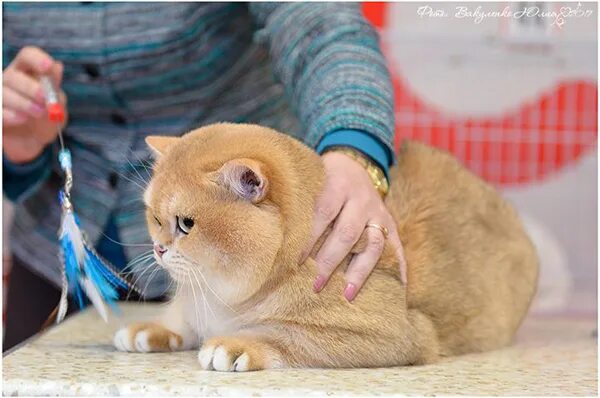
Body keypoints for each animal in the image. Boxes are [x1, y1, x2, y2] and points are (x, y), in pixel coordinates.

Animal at [113, 122, 540, 370]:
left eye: (186, 224)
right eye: (154, 218)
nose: (159, 249)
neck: (222, 300)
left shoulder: (397, 335)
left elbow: (283, 335)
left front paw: (236, 346)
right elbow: (182, 320)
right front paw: (152, 329)